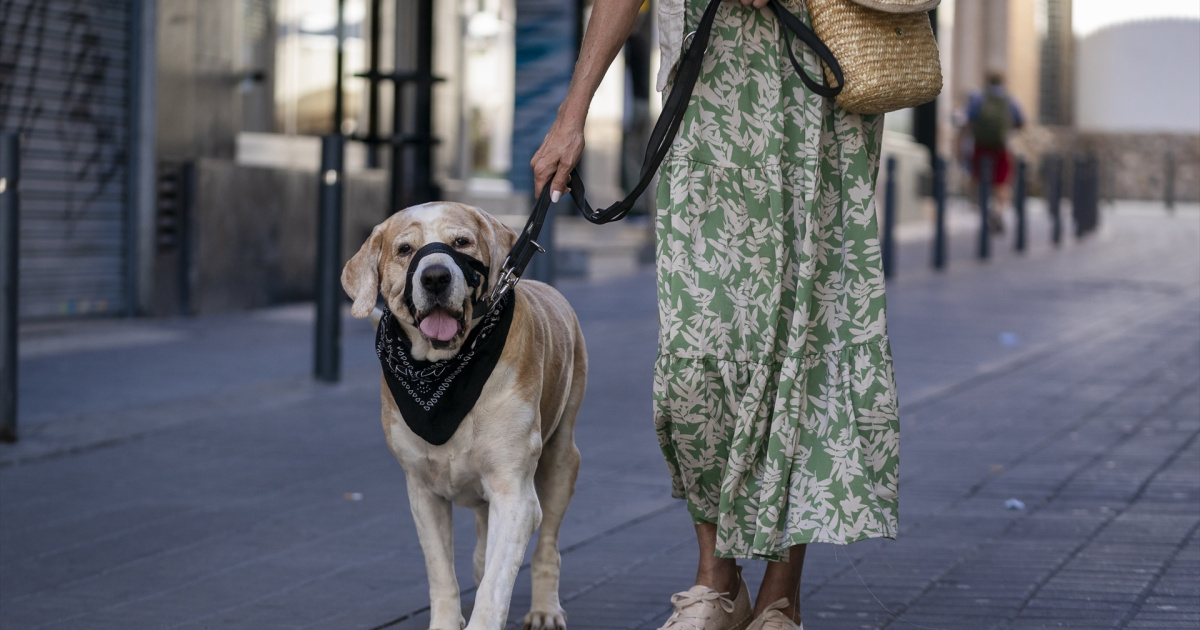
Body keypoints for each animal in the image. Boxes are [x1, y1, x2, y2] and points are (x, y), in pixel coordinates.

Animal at [340, 201, 588, 628]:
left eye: (461, 242)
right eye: (405, 249)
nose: (436, 276)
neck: (443, 373)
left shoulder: (514, 493)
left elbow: (495, 585)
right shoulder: (422, 492)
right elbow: (442, 572)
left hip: (560, 460)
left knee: (546, 547)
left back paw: (544, 609)